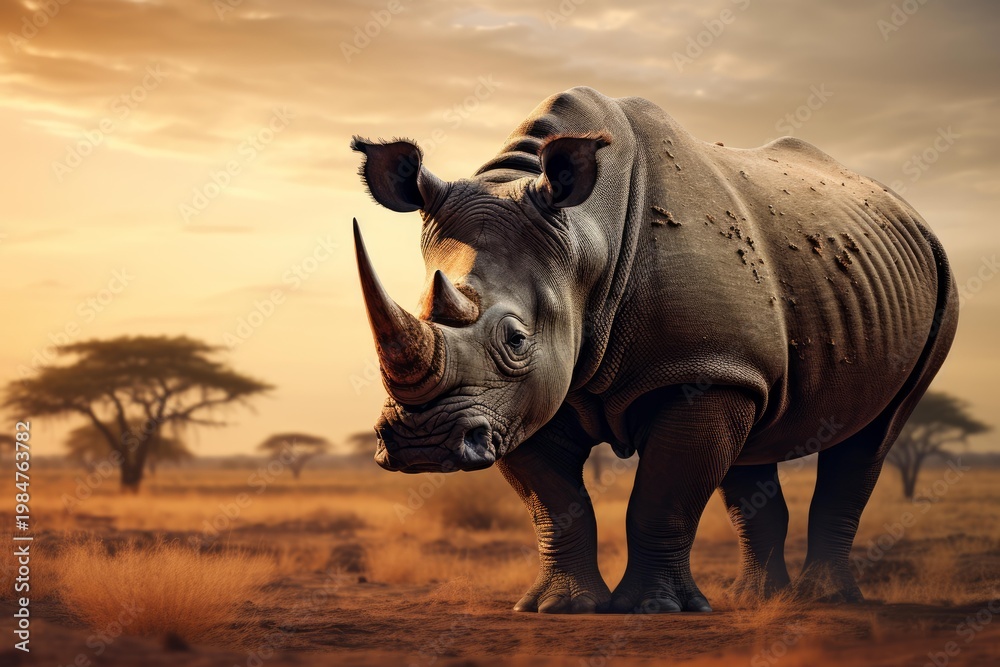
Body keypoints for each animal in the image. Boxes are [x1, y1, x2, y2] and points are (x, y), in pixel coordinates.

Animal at [349, 86, 958, 614]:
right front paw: (559, 609)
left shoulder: (696, 369)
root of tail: (907, 212)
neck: (584, 239)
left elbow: (662, 496)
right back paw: (757, 601)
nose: (423, 444)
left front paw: (653, 610)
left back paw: (825, 601)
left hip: (936, 285)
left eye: (516, 340)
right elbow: (555, 503)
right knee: (753, 437)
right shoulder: (516, 402)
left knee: (874, 435)